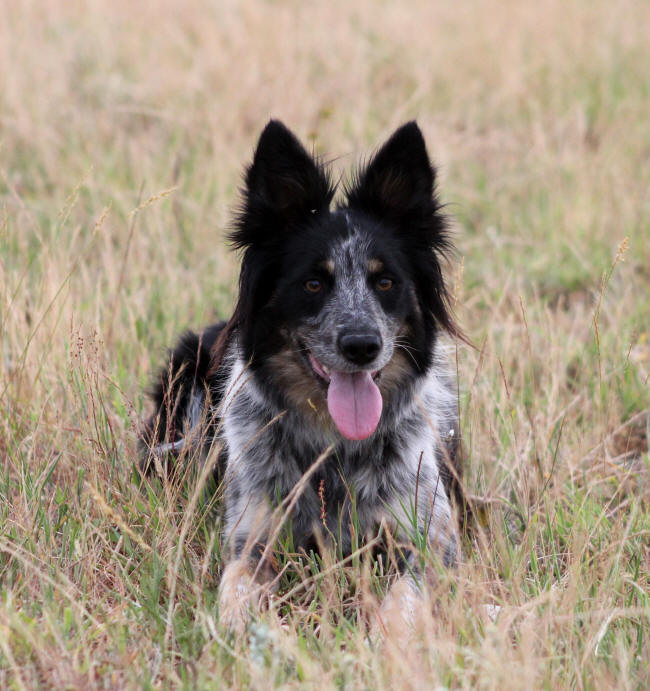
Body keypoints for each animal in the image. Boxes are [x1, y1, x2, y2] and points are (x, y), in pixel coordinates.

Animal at [140, 119, 466, 636]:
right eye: (313, 283)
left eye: (385, 282)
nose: (361, 345)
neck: (335, 448)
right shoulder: (252, 536)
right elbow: (235, 586)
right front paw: (240, 634)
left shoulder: (428, 541)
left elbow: (405, 600)